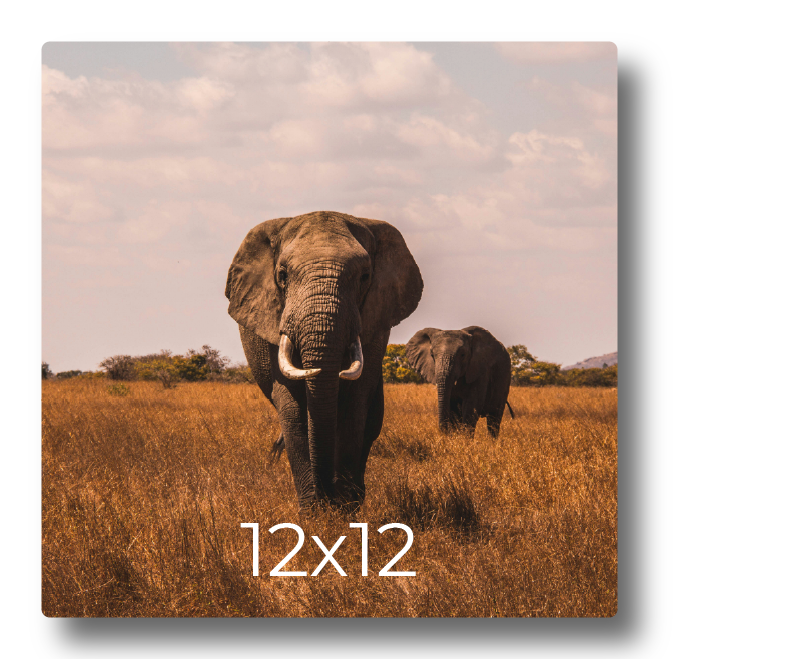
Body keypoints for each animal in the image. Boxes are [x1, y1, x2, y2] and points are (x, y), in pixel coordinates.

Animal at [226, 211, 423, 511]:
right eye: (282, 275)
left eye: (365, 276)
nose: (326, 496)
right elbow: (293, 408)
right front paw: (314, 512)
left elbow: (355, 406)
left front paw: (344, 509)